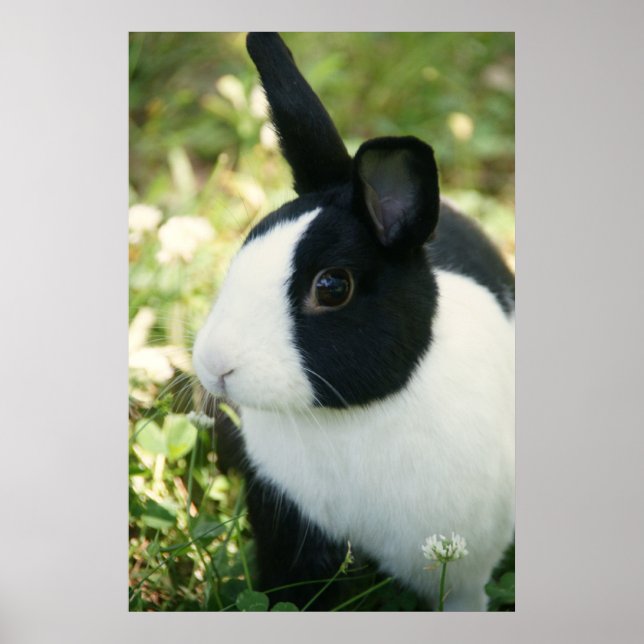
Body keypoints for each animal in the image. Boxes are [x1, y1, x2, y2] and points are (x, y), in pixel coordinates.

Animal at [193, 32, 514, 612]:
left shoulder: (463, 571)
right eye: (246, 247)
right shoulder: (289, 528)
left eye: (332, 287)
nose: (214, 365)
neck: (354, 415)